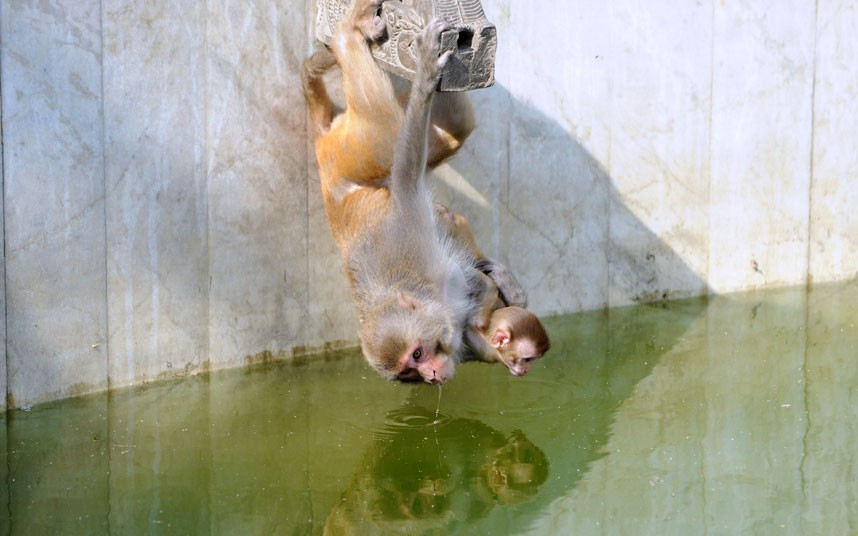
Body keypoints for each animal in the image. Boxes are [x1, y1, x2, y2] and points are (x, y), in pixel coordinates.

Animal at [303, 0, 477, 384]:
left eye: (418, 353)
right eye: (410, 371)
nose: (432, 376)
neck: (431, 294)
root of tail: (322, 148)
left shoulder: (414, 233)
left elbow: (407, 176)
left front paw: (425, 75)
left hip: (359, 147)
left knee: (391, 132)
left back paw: (347, 36)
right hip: (351, 149)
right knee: (455, 126)